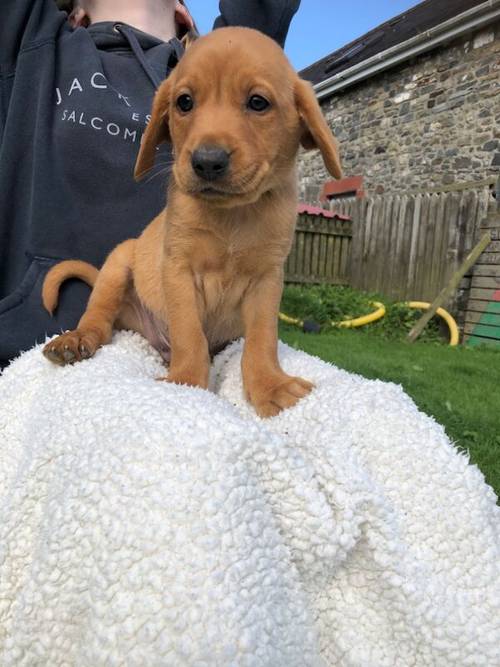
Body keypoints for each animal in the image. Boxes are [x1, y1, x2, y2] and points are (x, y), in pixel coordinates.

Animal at [43, 27, 342, 418]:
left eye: (258, 102)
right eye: (184, 102)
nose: (207, 161)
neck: (232, 215)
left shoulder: (267, 280)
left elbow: (262, 340)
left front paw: (269, 385)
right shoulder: (179, 270)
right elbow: (189, 334)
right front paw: (185, 382)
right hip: (119, 264)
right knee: (100, 319)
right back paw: (77, 339)